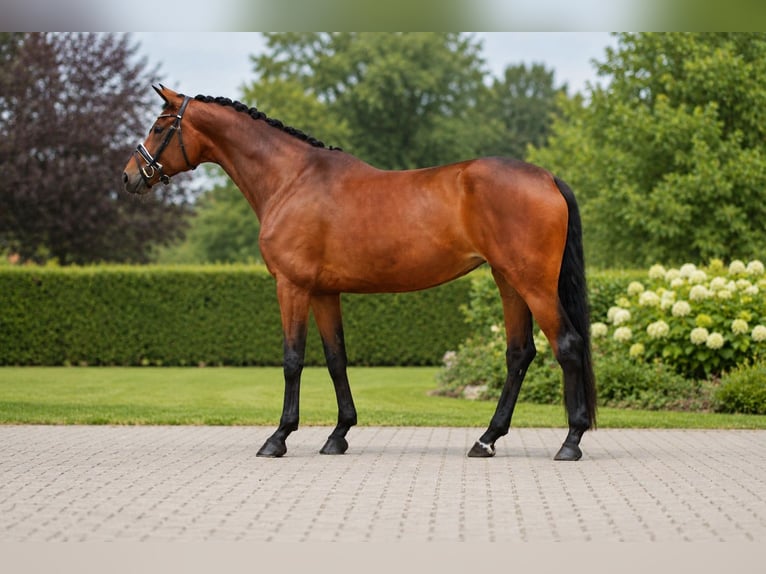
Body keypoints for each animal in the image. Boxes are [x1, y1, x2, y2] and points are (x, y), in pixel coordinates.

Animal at [123, 85, 597, 461]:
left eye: (160, 127)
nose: (130, 177)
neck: (291, 179)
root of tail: (547, 178)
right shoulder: (323, 292)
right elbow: (336, 359)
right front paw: (338, 435)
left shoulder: (291, 287)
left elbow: (292, 359)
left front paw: (279, 437)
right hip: (508, 281)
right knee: (519, 354)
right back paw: (486, 439)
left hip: (533, 284)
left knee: (567, 345)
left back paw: (570, 441)